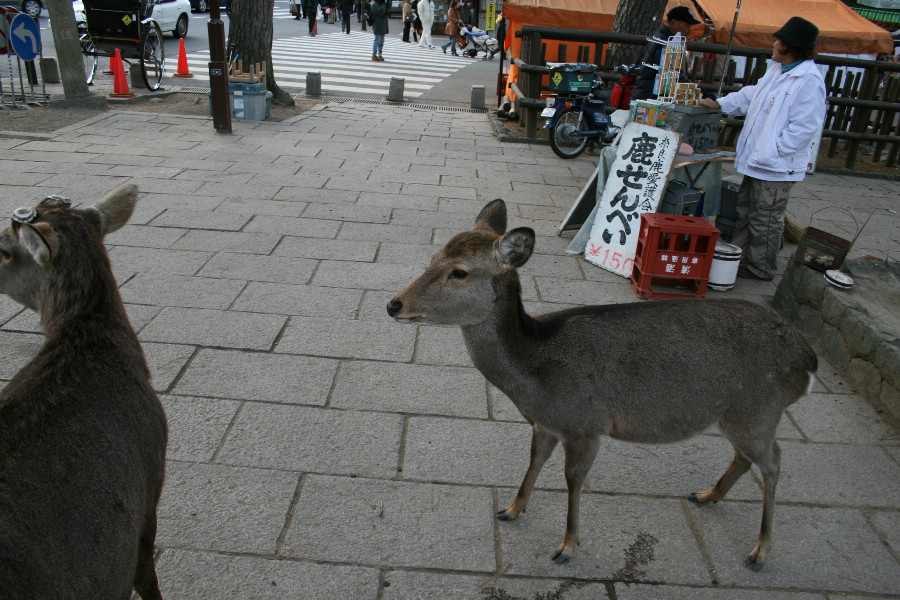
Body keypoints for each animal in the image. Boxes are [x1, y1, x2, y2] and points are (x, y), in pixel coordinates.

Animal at [386, 199, 816, 568]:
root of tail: (806, 359)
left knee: (774, 461)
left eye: (459, 271)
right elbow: (534, 460)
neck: (534, 379)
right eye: (432, 259)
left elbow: (573, 481)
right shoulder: (547, 423)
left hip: (759, 408)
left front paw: (566, 547)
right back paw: (707, 495)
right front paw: (510, 509)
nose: (393, 304)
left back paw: (759, 551)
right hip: (738, 415)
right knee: (746, 457)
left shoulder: (585, 425)